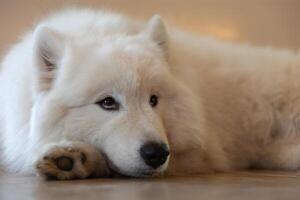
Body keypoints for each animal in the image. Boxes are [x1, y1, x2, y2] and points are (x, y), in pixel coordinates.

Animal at [0, 8, 300, 180]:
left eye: (153, 100)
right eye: (107, 103)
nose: (156, 153)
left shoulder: (198, 153)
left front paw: (76, 158)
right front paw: (71, 158)